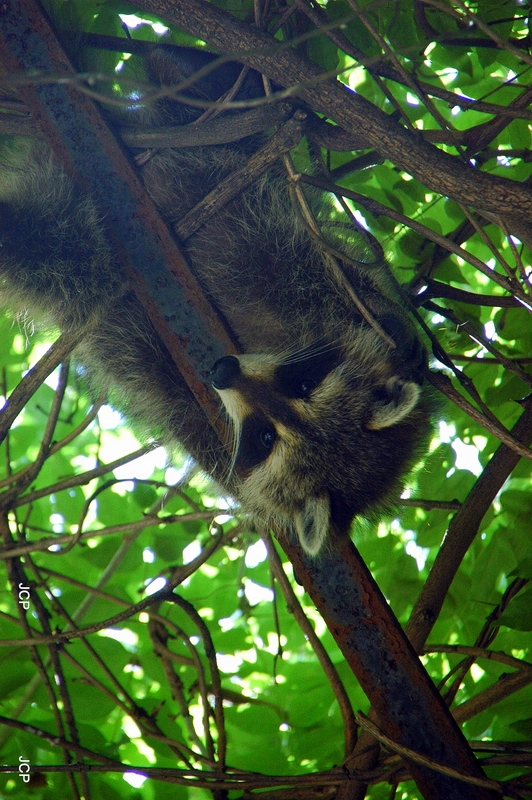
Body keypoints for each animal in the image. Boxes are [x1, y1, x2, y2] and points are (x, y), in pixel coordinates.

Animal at [0, 45, 432, 556]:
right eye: (304, 384)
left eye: (263, 440)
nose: (223, 371)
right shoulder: (290, 269)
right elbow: (300, 269)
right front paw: (392, 322)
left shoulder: (195, 415)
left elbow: (159, 378)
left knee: (53, 248)